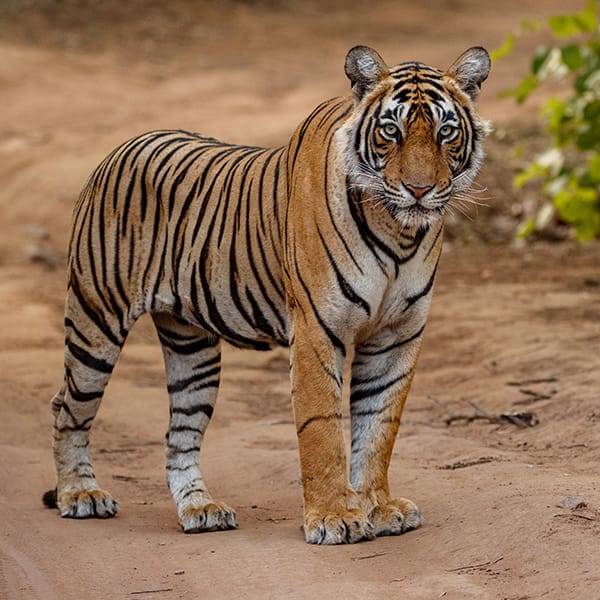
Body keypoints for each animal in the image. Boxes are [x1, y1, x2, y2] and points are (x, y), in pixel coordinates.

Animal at [43, 45, 492, 544]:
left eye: (445, 131)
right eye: (390, 131)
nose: (418, 190)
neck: (399, 233)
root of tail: (120, 148)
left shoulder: (396, 336)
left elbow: (379, 426)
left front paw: (378, 507)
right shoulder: (318, 330)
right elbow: (322, 428)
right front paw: (335, 518)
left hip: (193, 351)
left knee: (179, 436)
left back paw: (200, 508)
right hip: (95, 320)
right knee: (66, 408)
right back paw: (80, 494)